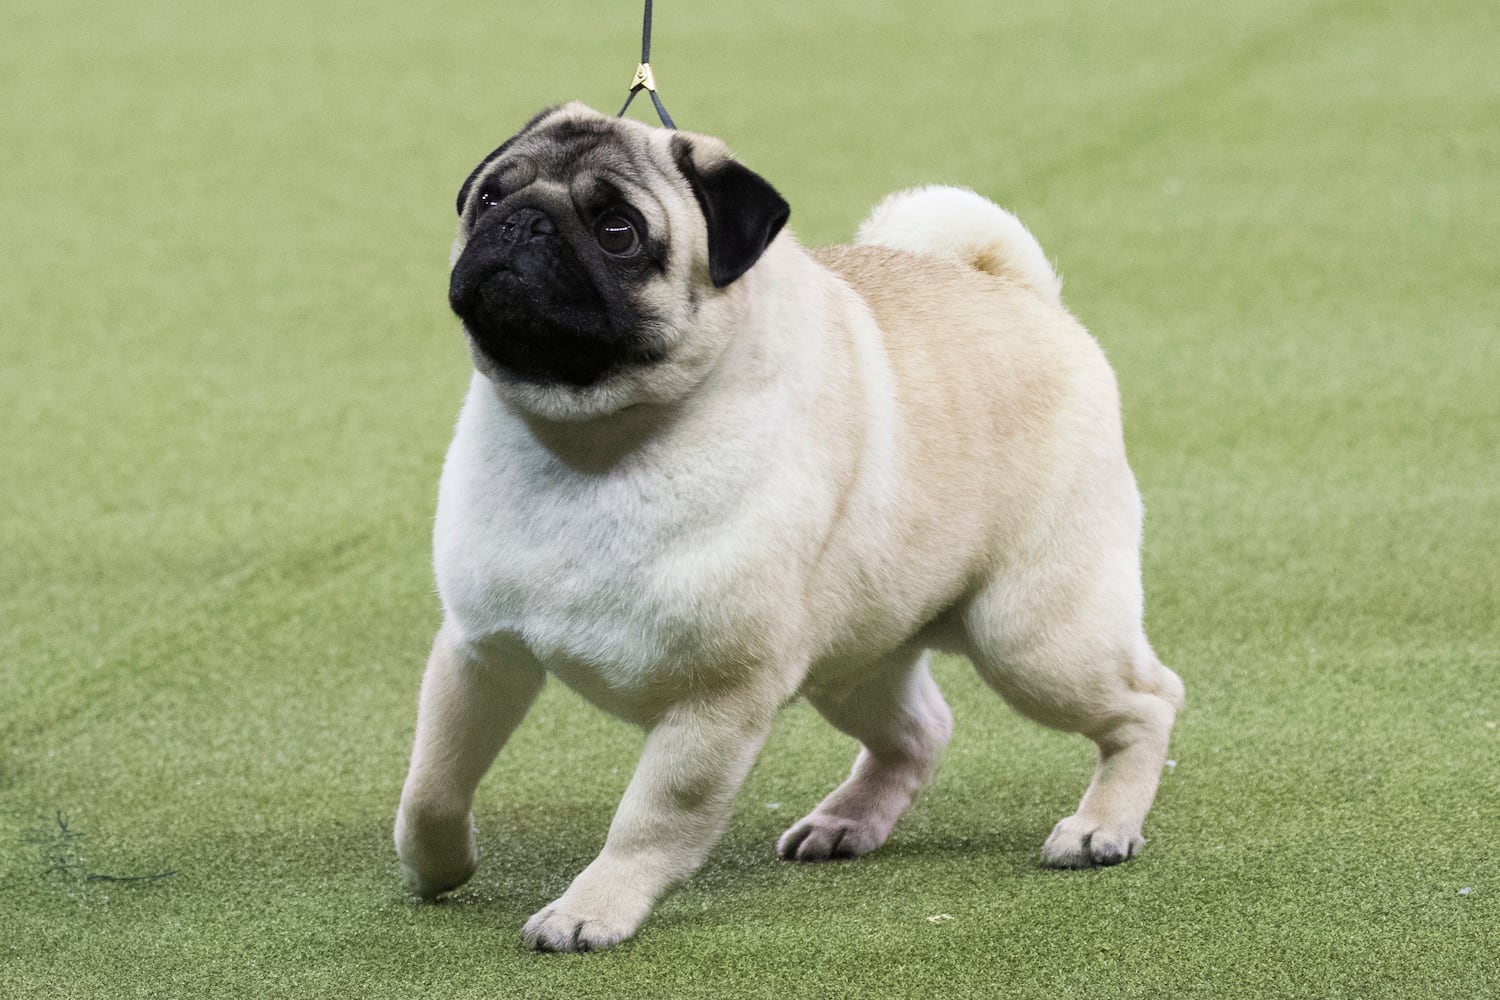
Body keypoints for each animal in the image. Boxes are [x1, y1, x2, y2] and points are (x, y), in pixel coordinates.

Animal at [396, 101, 1182, 953]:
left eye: (619, 232)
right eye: (490, 197)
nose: (524, 222)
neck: (591, 443)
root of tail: (1015, 291)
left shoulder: (716, 702)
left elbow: (649, 819)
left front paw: (592, 907)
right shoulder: (482, 652)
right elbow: (433, 781)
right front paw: (436, 866)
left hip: (1031, 637)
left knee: (1147, 701)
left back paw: (1101, 826)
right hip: (856, 662)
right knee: (919, 731)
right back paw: (849, 820)